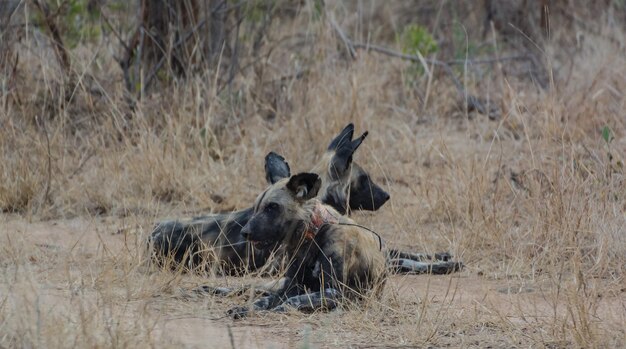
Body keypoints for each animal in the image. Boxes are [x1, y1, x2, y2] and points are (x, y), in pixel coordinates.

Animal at [224, 171, 386, 318]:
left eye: (272, 207)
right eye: (256, 207)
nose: (244, 232)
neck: (313, 235)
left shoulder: (334, 292)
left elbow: (290, 302)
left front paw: (269, 312)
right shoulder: (292, 286)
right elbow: (263, 301)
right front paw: (247, 309)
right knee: (252, 288)